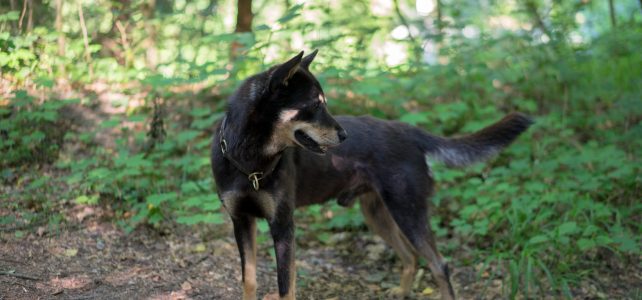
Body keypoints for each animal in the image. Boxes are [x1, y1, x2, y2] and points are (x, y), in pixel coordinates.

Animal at [210, 50, 528, 298]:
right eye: (314, 105)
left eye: (323, 103)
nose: (344, 136)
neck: (251, 160)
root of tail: (409, 132)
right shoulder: (241, 221)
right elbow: (249, 280)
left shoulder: (284, 225)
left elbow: (285, 286)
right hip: (377, 213)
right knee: (410, 256)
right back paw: (401, 292)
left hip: (408, 211)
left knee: (439, 264)